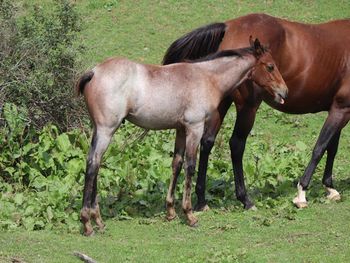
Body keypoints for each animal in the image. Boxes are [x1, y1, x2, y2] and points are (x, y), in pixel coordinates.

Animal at [76, 37, 288, 237]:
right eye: (270, 66)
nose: (284, 91)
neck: (206, 78)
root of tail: (94, 71)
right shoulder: (195, 127)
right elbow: (190, 166)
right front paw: (189, 214)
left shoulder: (180, 129)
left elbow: (176, 164)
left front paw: (170, 211)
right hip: (106, 130)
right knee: (93, 164)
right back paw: (87, 223)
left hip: (98, 129)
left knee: (95, 163)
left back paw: (98, 220)